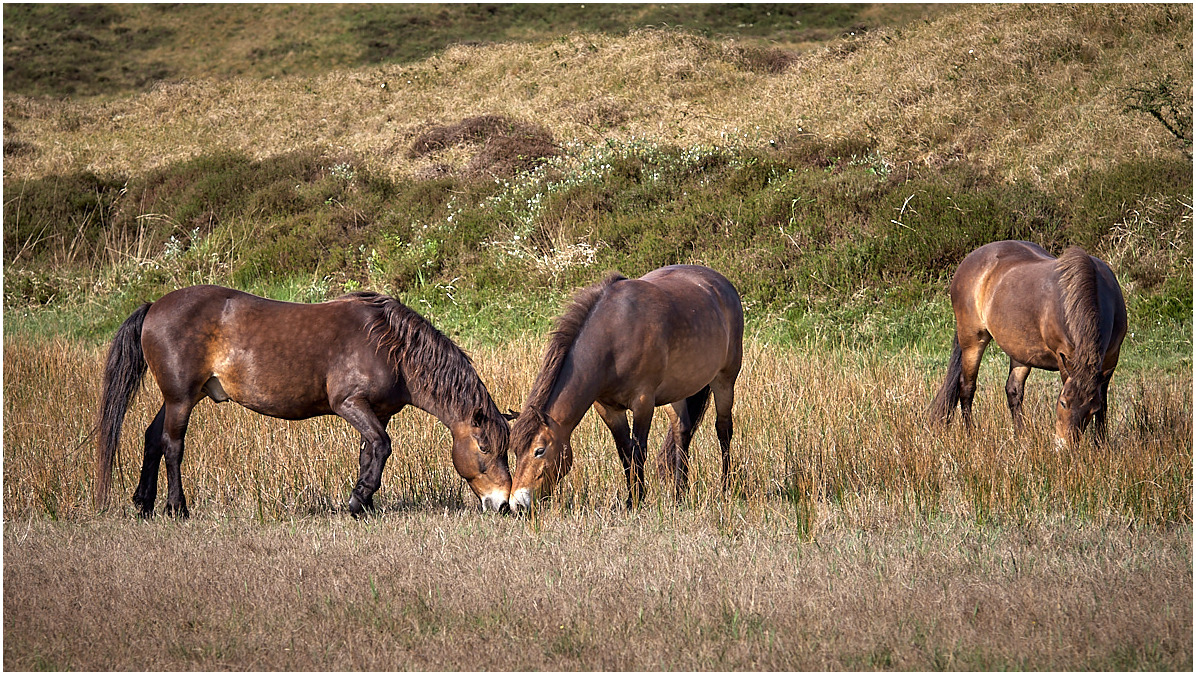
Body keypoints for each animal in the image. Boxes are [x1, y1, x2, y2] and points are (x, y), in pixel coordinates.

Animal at [96, 284, 514, 517]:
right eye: (484, 447)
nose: (505, 503)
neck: (389, 346)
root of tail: (154, 305)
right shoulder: (350, 404)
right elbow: (382, 446)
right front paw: (358, 500)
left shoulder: (377, 413)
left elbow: (369, 452)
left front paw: (365, 503)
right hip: (181, 398)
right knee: (172, 445)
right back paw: (176, 507)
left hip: (180, 398)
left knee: (152, 438)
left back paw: (145, 504)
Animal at [507, 263, 746, 512]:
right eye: (514, 451)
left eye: (539, 450)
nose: (517, 504)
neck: (613, 336)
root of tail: (720, 283)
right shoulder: (608, 409)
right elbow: (624, 452)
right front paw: (631, 499)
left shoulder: (643, 402)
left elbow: (638, 451)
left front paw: (638, 499)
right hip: (677, 392)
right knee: (682, 432)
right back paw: (680, 494)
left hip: (725, 379)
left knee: (723, 430)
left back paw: (726, 487)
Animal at [928, 241, 1124, 442]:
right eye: (1063, 402)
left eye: (1092, 409)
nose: (1064, 444)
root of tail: (969, 260)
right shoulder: (1065, 358)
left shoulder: (1109, 360)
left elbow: (1104, 403)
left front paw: (1101, 443)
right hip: (973, 341)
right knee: (967, 387)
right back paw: (971, 435)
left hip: (1020, 351)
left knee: (1013, 390)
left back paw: (1021, 437)